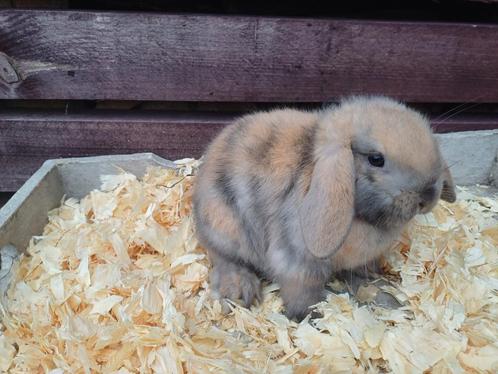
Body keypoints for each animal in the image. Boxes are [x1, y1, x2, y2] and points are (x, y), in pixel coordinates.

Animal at [191, 95, 456, 320]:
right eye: (376, 159)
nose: (427, 197)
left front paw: (379, 287)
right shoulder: (297, 263)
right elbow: (302, 294)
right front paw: (311, 317)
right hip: (225, 228)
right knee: (223, 257)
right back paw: (240, 287)